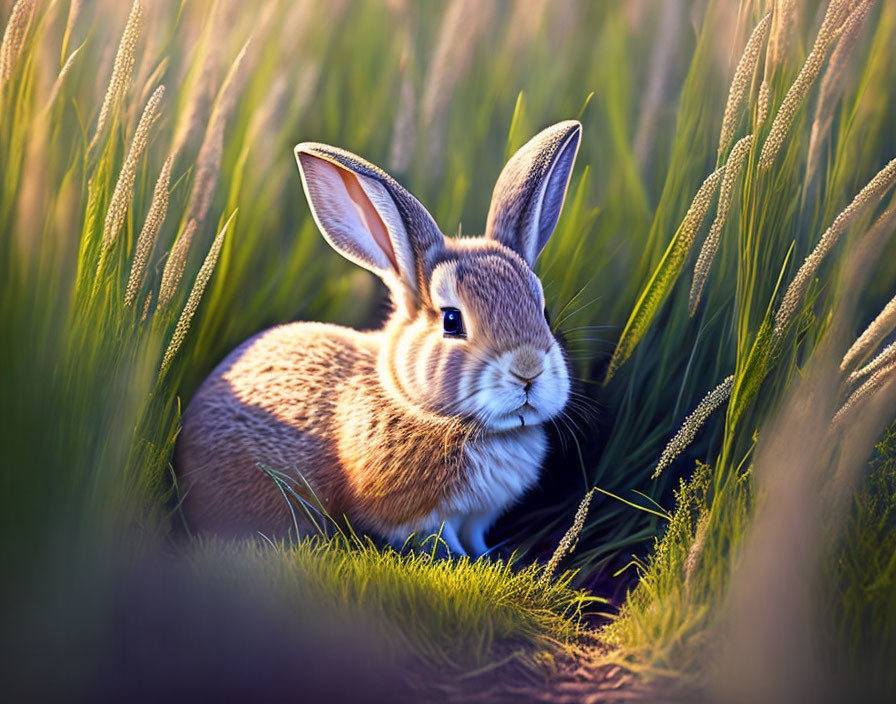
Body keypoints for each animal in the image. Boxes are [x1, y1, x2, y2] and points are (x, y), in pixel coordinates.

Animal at [175, 119, 580, 556]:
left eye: (544, 313)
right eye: (452, 321)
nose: (528, 371)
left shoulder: (477, 518)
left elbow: (475, 538)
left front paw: (490, 558)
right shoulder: (417, 515)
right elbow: (440, 539)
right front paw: (464, 561)